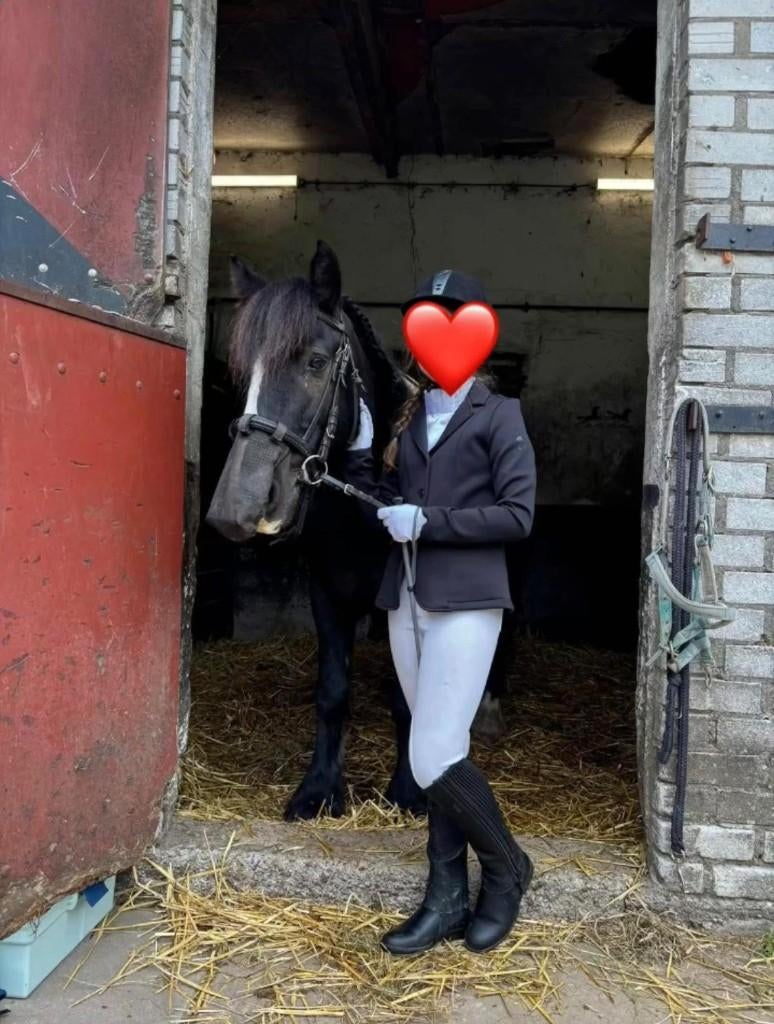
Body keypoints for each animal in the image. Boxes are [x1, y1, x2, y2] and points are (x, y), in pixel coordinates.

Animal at [206, 240, 507, 821]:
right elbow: (333, 691)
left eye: (316, 363)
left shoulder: (402, 602)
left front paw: (410, 791)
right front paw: (319, 788)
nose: (236, 509)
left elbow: (406, 696)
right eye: (240, 373)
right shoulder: (328, 592)